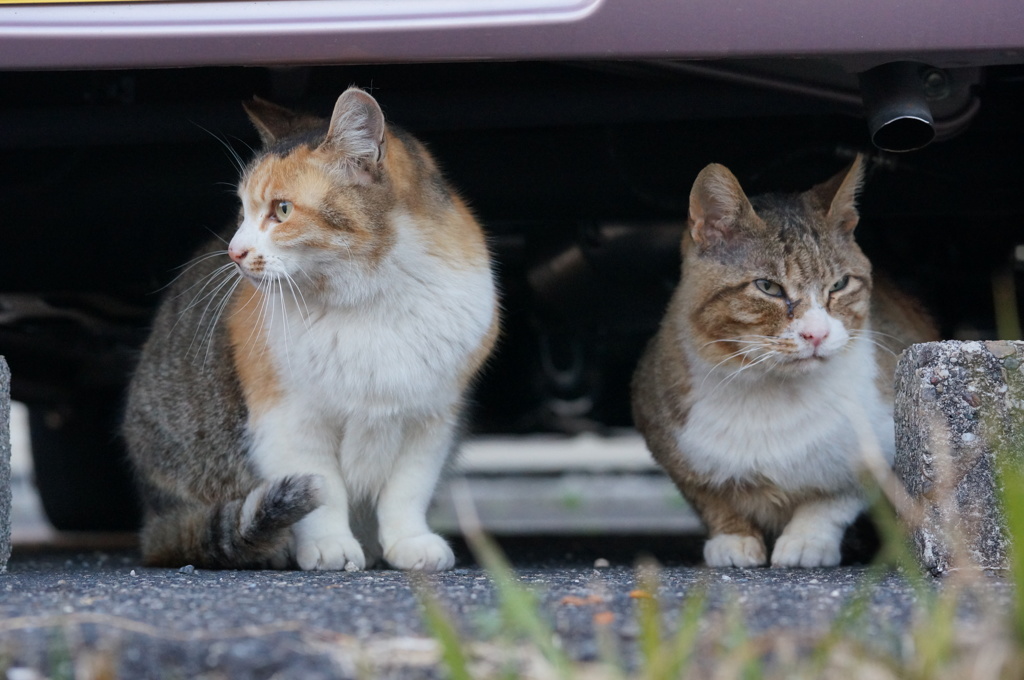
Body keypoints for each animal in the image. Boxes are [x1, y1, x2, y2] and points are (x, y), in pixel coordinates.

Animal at [123, 86, 499, 573]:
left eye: (281, 210)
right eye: (242, 211)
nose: (234, 252)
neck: (370, 299)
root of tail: (153, 526)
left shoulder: (433, 419)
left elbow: (407, 489)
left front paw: (410, 542)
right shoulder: (288, 419)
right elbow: (323, 490)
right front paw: (328, 545)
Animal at [630, 156, 937, 565]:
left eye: (840, 285)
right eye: (769, 287)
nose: (816, 334)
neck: (771, 389)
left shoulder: (878, 450)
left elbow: (834, 499)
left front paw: (808, 539)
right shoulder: (666, 440)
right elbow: (712, 498)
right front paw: (732, 538)